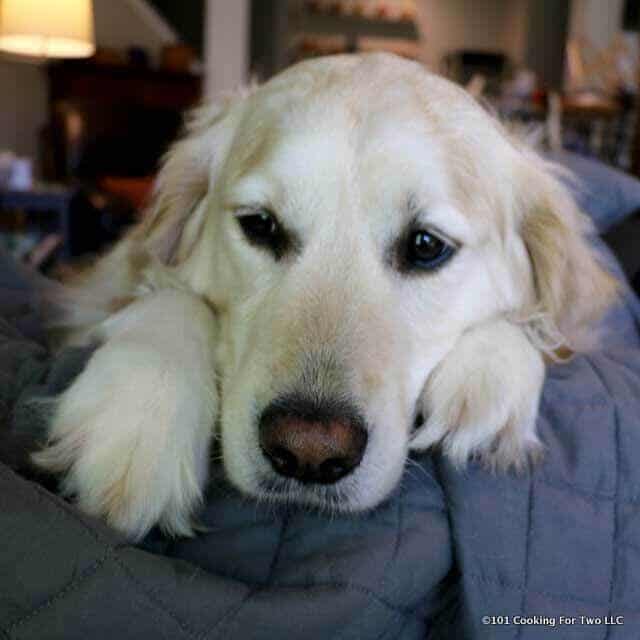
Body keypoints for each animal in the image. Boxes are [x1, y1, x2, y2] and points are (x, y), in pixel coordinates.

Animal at [31, 53, 620, 540]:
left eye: (426, 245)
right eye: (260, 225)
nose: (308, 451)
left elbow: (541, 328)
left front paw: (491, 372)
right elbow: (171, 298)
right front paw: (137, 417)